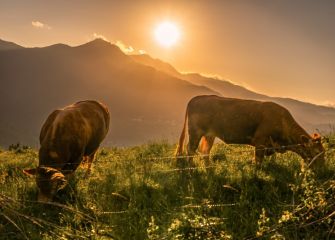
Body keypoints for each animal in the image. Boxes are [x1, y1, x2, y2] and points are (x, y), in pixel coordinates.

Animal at [177, 94, 326, 168]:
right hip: (195, 132)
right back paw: (192, 168)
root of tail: (197, 98)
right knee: (190, 149)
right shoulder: (260, 142)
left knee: (205, 151)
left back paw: (209, 167)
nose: (323, 169)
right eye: (316, 152)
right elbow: (258, 161)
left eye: (323, 152)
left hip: (209, 135)